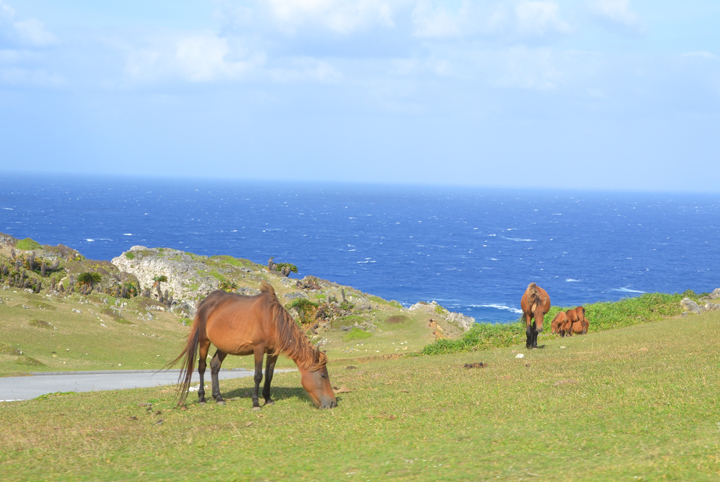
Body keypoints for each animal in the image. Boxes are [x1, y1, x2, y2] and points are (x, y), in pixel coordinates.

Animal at [170, 282, 336, 410]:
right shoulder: (258, 349)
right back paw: (202, 398)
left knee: (215, 365)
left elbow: (269, 375)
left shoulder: (273, 352)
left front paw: (268, 399)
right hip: (204, 340)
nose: (332, 403)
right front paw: (256, 403)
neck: (272, 320)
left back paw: (219, 398)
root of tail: (206, 301)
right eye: (323, 375)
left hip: (224, 347)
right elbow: (258, 375)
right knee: (202, 367)